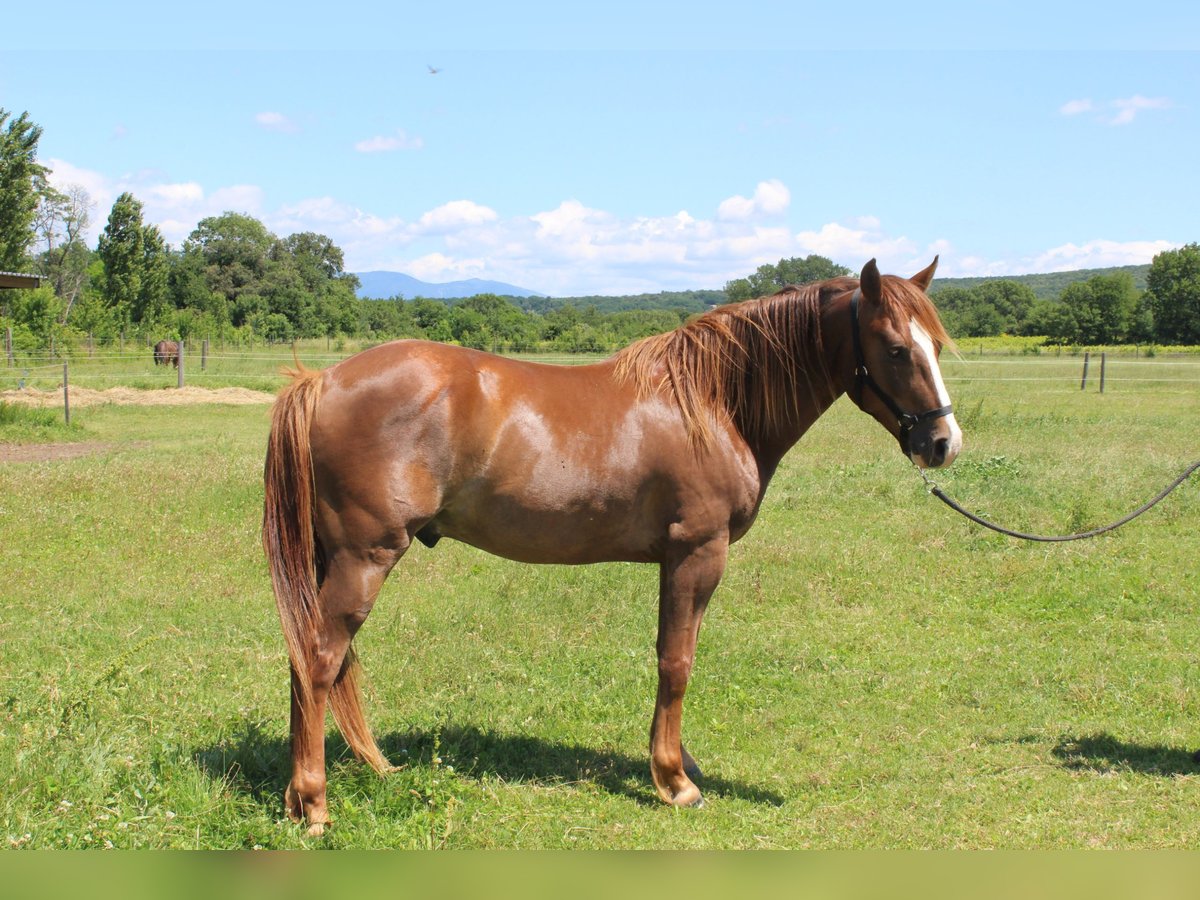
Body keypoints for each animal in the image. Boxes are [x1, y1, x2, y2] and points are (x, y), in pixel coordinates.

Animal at [265, 256, 964, 835]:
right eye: (896, 349)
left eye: (934, 345)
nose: (943, 444)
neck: (712, 404)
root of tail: (322, 381)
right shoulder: (696, 553)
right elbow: (676, 662)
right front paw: (674, 782)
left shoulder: (689, 562)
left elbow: (680, 654)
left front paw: (680, 763)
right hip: (365, 558)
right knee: (320, 659)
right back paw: (316, 806)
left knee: (306, 659)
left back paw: (306, 794)